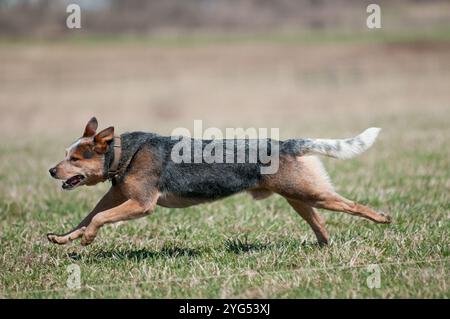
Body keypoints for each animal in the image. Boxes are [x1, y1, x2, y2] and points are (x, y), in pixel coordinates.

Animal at [46, 118, 390, 248]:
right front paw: (65, 238)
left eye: (75, 158)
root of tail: (287, 144)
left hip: (310, 193)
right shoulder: (116, 197)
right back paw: (323, 246)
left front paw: (88, 239)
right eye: (65, 155)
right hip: (299, 197)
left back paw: (382, 218)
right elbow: (88, 217)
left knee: (352, 205)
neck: (122, 154)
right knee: (320, 223)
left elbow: (99, 219)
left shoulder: (141, 204)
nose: (51, 170)